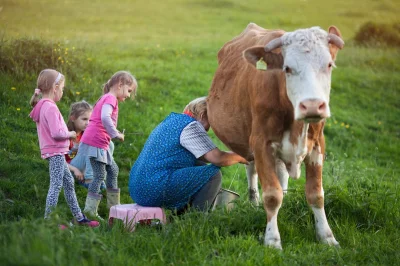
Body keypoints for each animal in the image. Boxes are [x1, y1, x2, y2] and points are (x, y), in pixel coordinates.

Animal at [206, 23, 344, 249]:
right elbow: (272, 194)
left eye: (329, 65)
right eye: (287, 68)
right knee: (252, 170)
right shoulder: (261, 143)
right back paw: (254, 202)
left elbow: (316, 194)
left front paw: (327, 237)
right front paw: (272, 239)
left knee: (280, 175)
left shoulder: (317, 145)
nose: (312, 105)